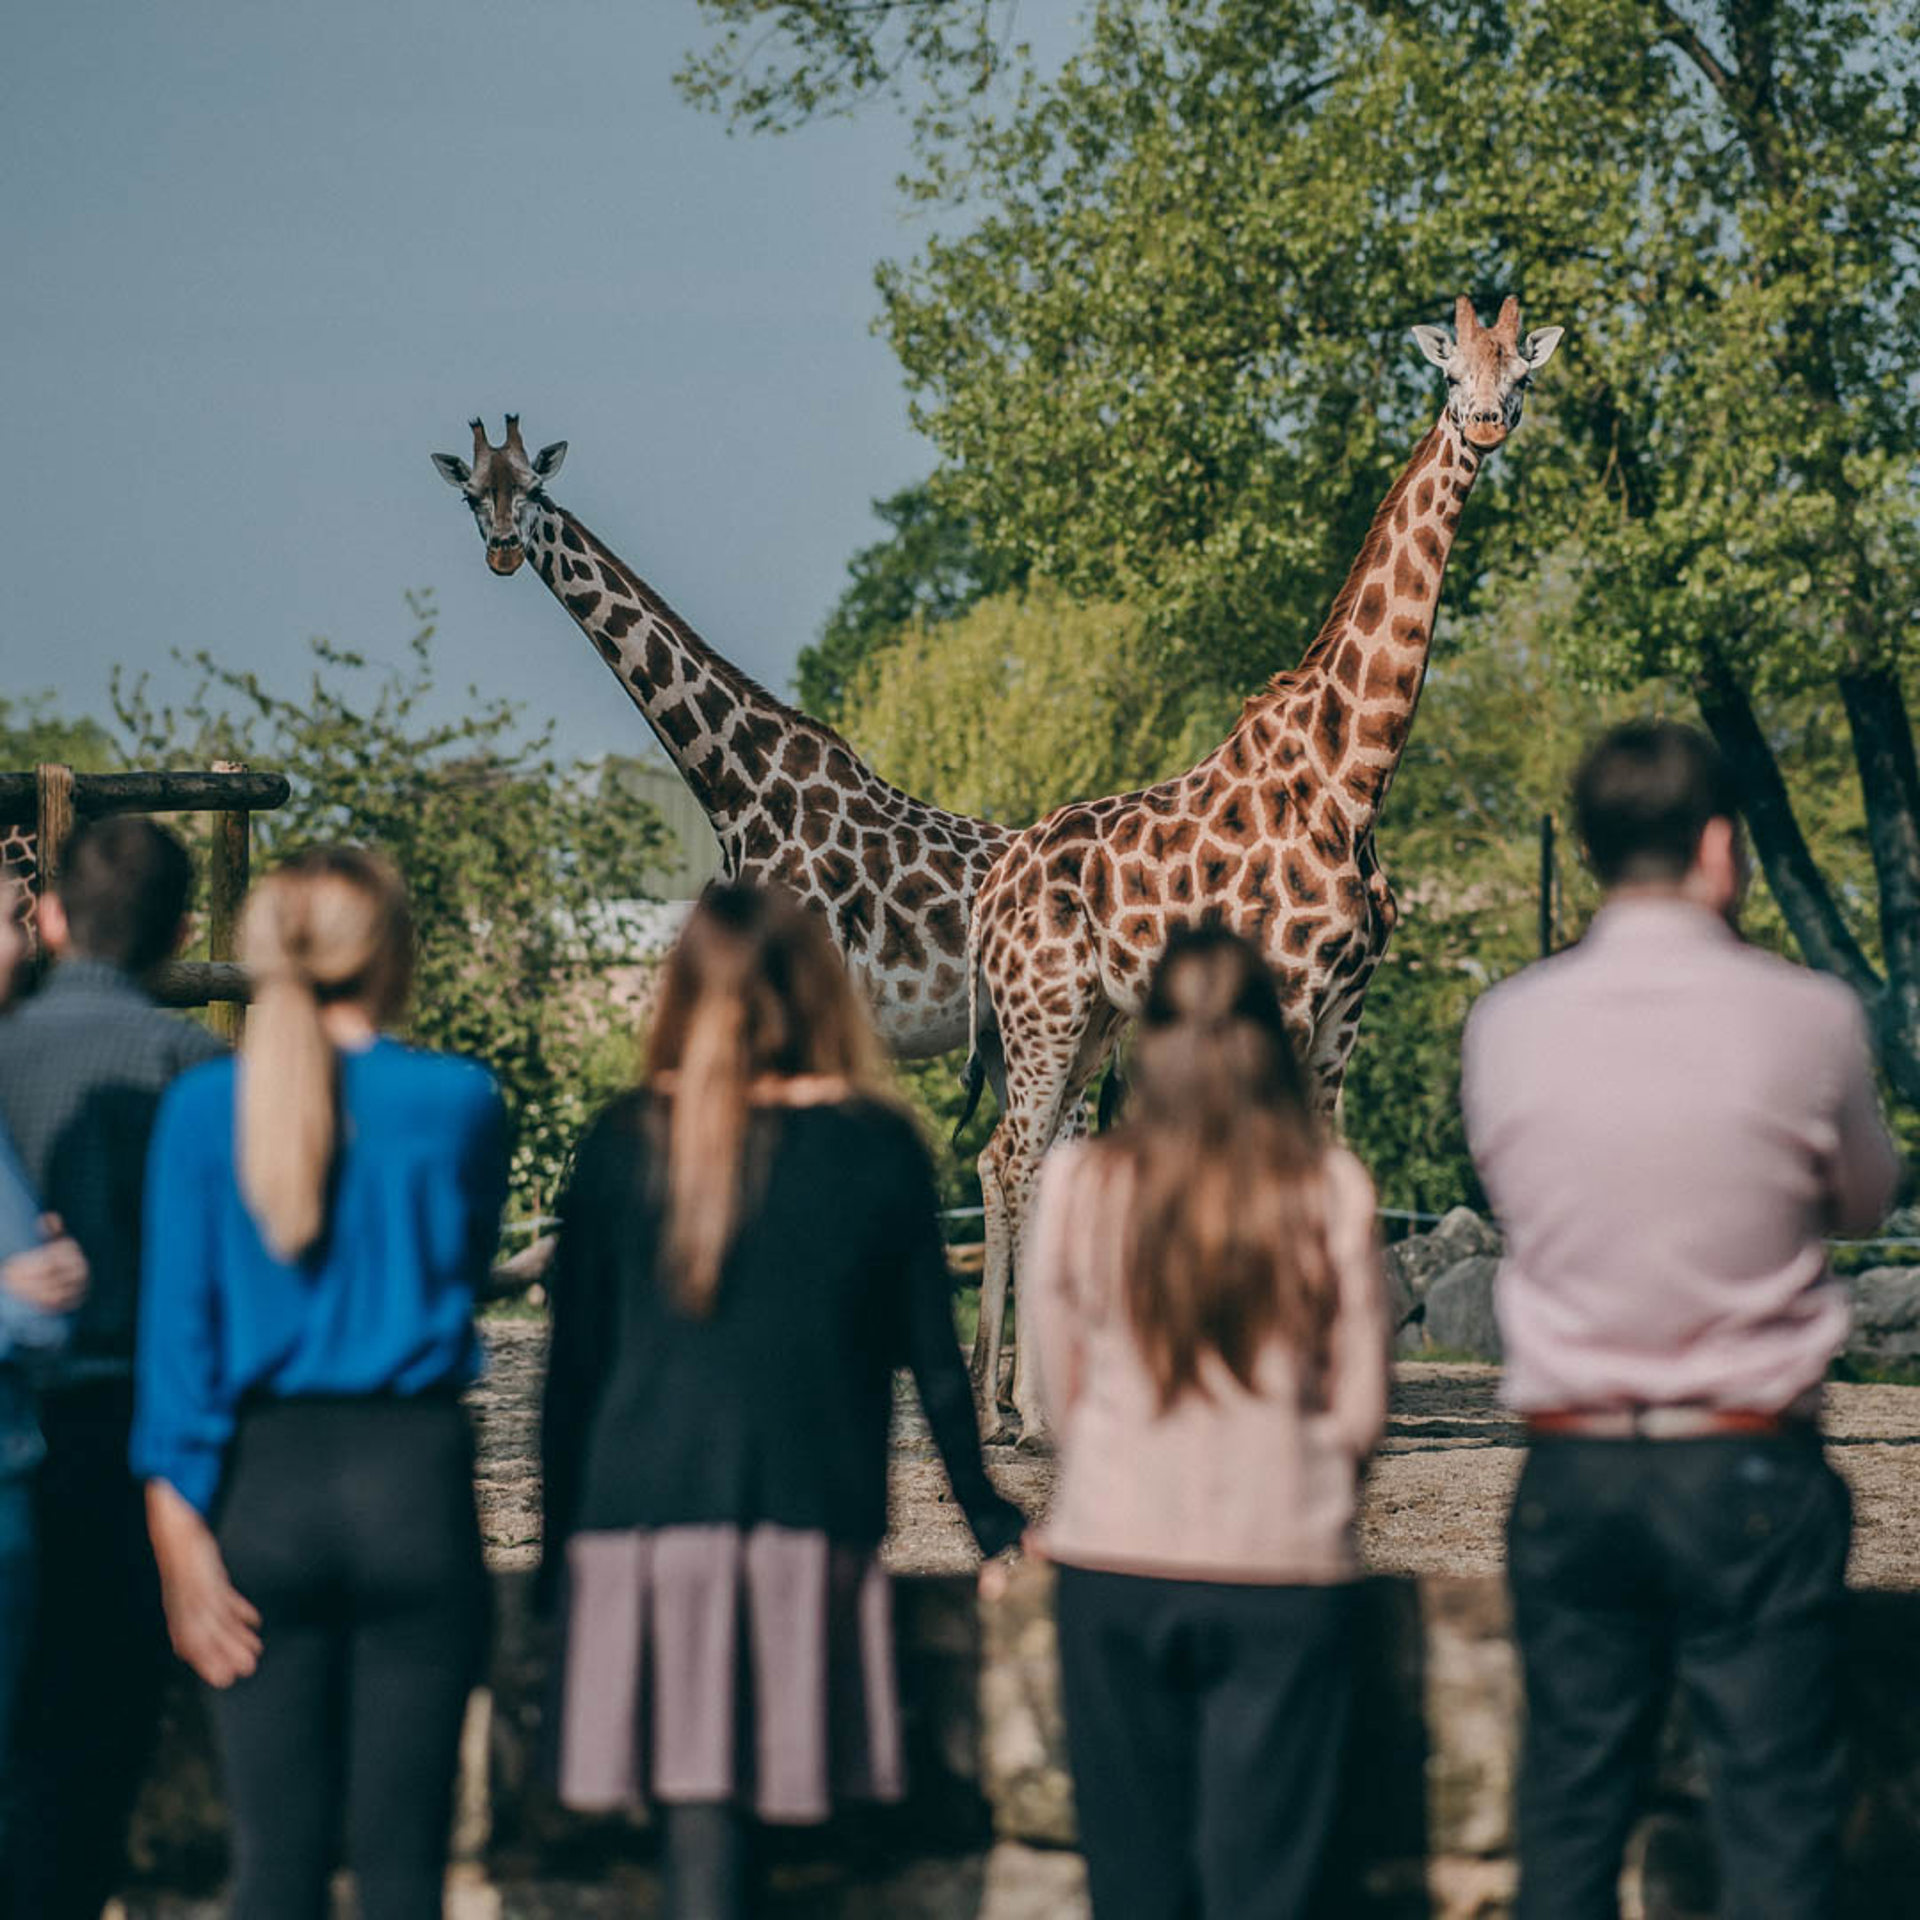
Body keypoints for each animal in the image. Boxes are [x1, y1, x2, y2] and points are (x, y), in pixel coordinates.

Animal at [966, 295, 1562, 1439]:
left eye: (1520, 376)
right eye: (1448, 373)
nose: (1484, 426)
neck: (1354, 776)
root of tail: (991, 891)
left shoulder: (1344, 1006)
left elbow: (1334, 1174)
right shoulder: (1284, 990)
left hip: (1095, 1017)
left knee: (1040, 1160)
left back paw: (1044, 1413)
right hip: (1041, 1010)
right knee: (1007, 1155)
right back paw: (995, 1413)